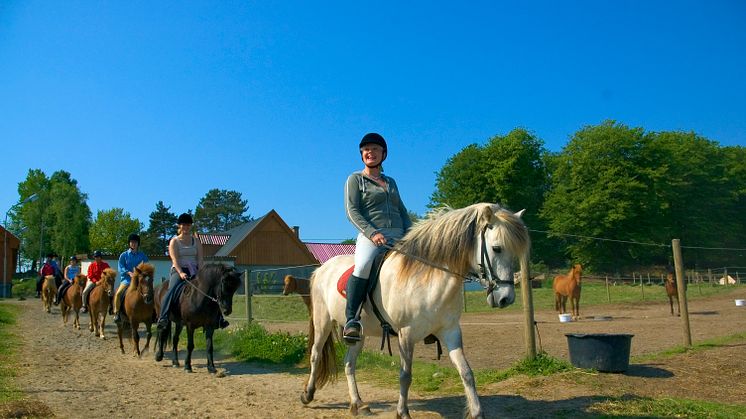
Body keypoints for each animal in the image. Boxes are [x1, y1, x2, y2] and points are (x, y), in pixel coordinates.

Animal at [300, 204, 528, 419]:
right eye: (497, 248)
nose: (506, 298)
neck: (427, 278)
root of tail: (321, 269)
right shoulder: (406, 334)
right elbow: (405, 375)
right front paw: (402, 412)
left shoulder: (451, 331)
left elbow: (466, 372)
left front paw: (477, 412)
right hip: (322, 323)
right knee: (315, 355)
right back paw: (308, 394)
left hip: (359, 334)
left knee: (349, 363)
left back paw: (358, 404)